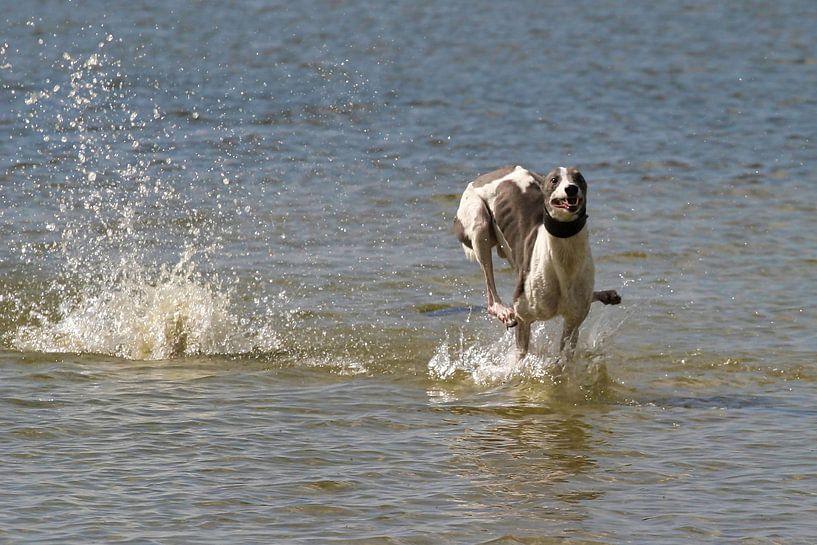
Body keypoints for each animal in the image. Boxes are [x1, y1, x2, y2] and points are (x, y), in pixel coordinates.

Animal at [452, 166, 620, 362]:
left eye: (579, 178)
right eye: (554, 180)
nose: (571, 188)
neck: (563, 263)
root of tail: (487, 175)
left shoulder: (573, 323)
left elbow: (564, 358)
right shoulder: (523, 318)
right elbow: (519, 356)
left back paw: (605, 295)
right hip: (479, 222)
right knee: (490, 296)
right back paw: (502, 310)